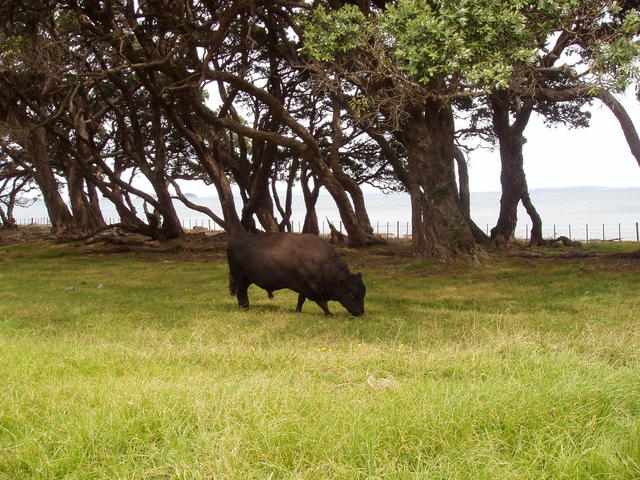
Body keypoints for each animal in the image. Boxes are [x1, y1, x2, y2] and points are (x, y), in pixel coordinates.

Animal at [228, 232, 364, 316]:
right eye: (351, 294)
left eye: (363, 293)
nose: (361, 312)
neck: (322, 263)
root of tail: (234, 240)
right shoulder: (312, 288)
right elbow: (322, 302)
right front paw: (329, 314)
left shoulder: (303, 287)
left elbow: (301, 300)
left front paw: (297, 311)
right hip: (240, 277)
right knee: (241, 292)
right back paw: (244, 307)